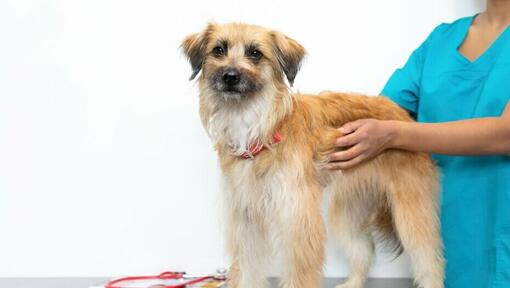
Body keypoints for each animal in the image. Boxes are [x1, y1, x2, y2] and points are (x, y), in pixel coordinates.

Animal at [180, 22, 442, 288]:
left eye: (255, 53)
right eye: (218, 50)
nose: (230, 77)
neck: (258, 128)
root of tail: (402, 114)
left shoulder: (297, 219)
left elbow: (299, 274)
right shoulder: (246, 219)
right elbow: (246, 270)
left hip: (410, 210)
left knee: (430, 259)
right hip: (349, 208)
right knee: (365, 250)